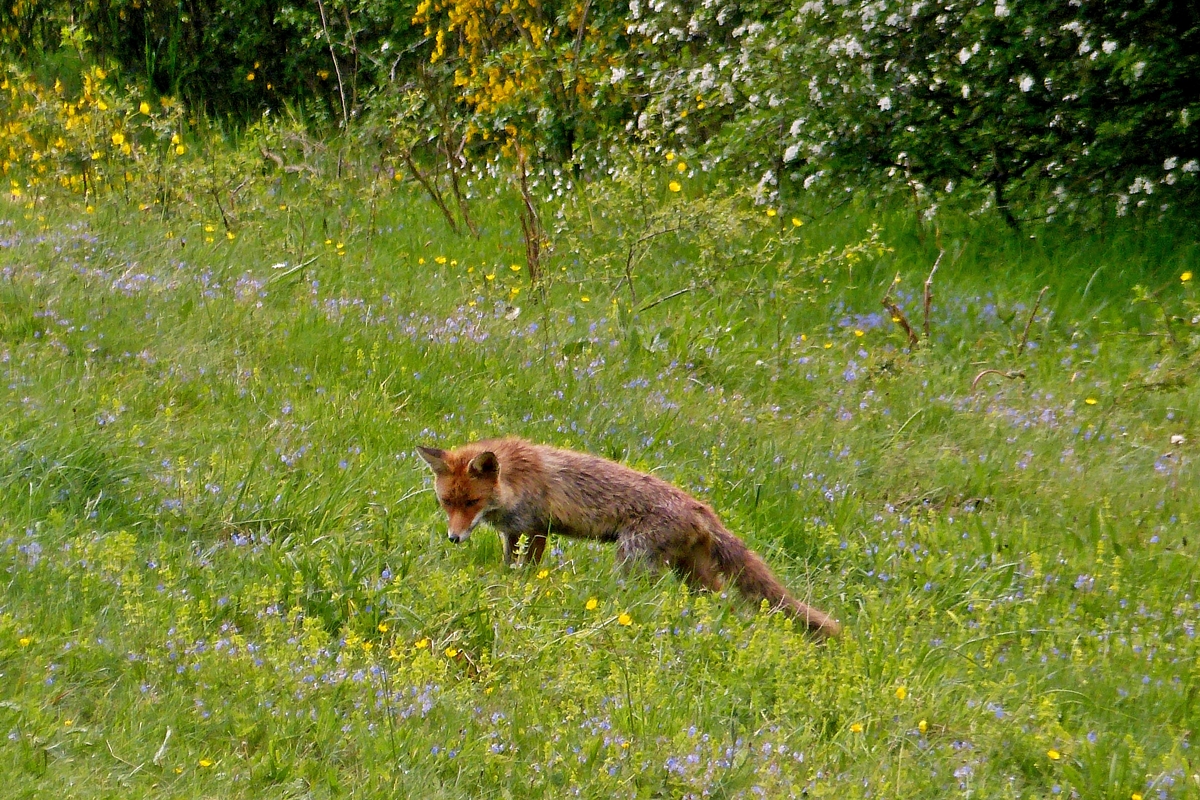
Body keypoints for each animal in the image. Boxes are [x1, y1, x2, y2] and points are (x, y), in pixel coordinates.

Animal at [417, 438, 840, 638]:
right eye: (446, 502)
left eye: (471, 502)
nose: (454, 538)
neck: (514, 480)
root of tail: (701, 507)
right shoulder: (513, 534)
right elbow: (509, 567)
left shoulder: (536, 528)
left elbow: (530, 571)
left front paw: (524, 591)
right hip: (692, 575)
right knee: (723, 603)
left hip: (633, 562)